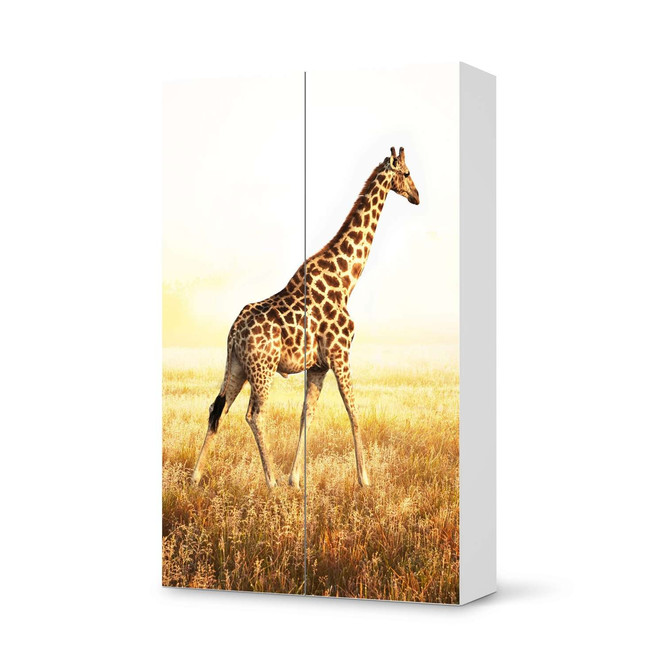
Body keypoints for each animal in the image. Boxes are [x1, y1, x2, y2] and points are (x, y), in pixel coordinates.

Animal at [191, 146, 420, 489]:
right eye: (406, 173)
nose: (417, 196)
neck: (346, 279)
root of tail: (232, 333)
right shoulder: (340, 353)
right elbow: (353, 410)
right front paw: (364, 479)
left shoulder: (318, 365)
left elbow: (306, 415)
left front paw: (296, 479)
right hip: (262, 369)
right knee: (254, 414)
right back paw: (270, 481)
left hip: (237, 367)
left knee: (217, 408)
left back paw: (196, 476)